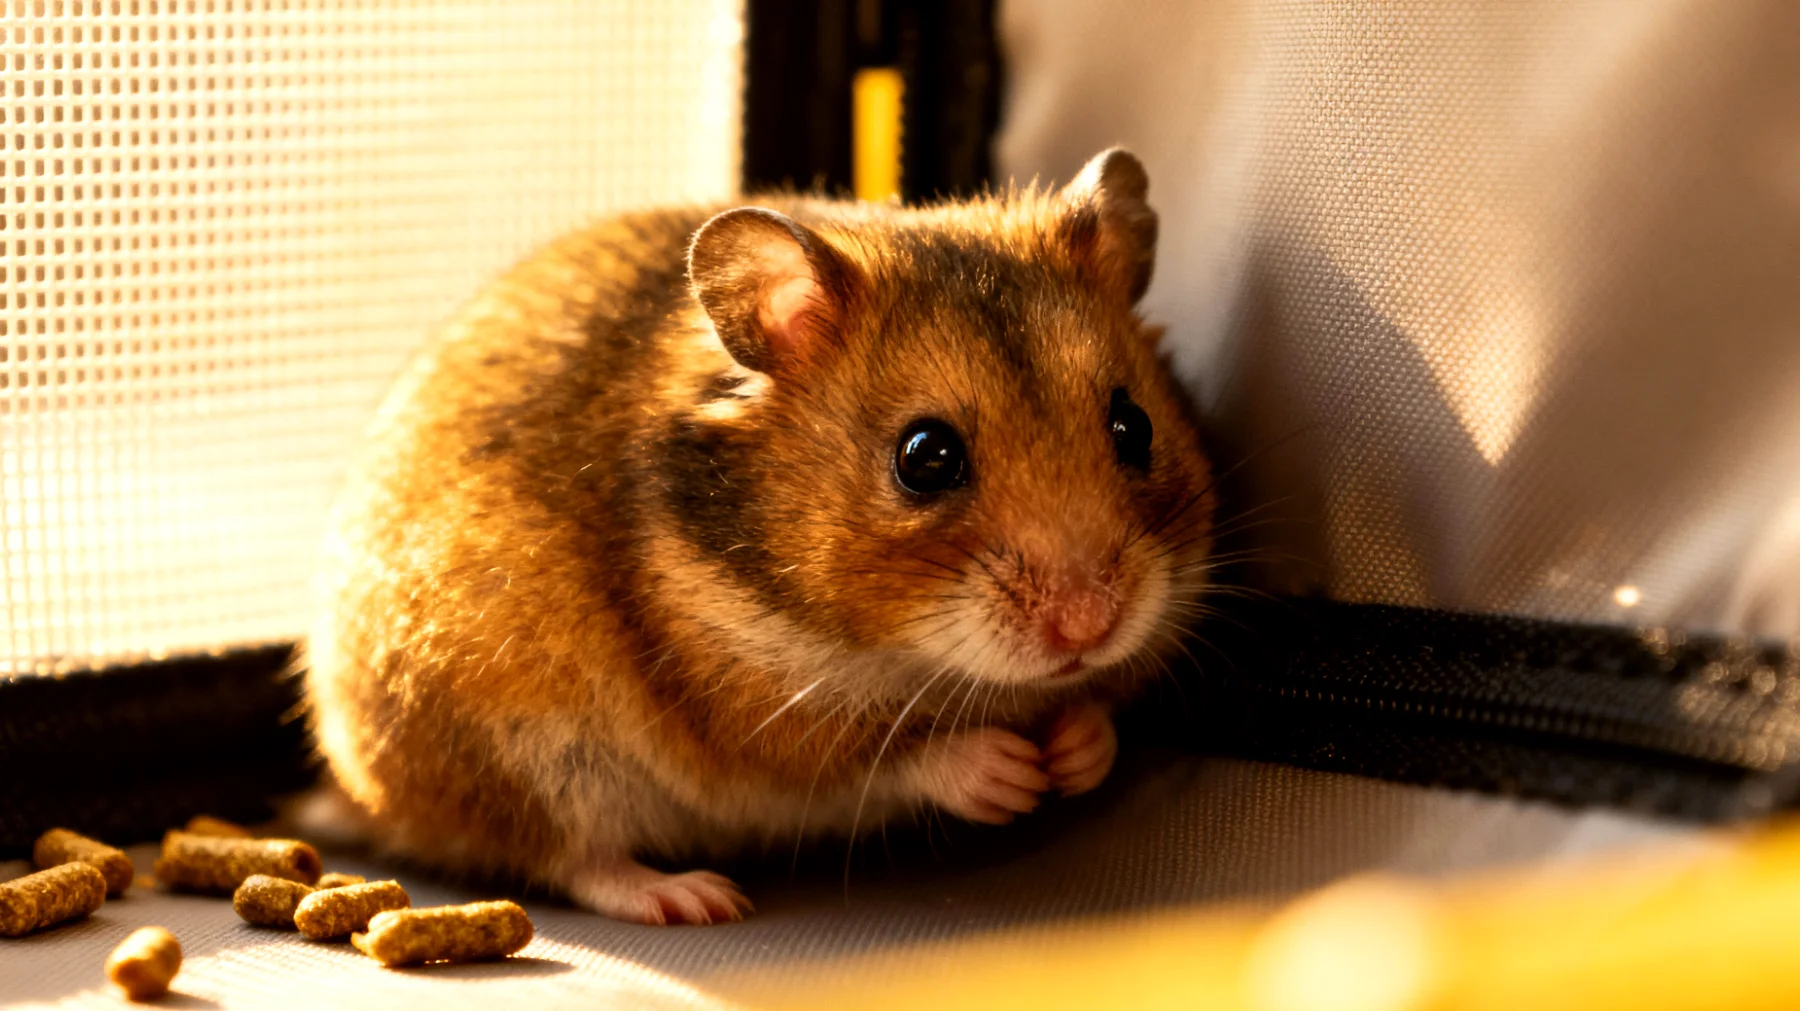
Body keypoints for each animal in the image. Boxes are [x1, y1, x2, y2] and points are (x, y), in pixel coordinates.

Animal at [304, 148, 1216, 925]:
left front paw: (1074, 753)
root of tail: (363, 794)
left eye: (1134, 426)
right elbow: (887, 756)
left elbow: (1100, 716)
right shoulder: (759, 713)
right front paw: (1012, 774)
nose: (1089, 626)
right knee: (568, 856)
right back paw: (693, 897)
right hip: (524, 746)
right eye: (925, 457)